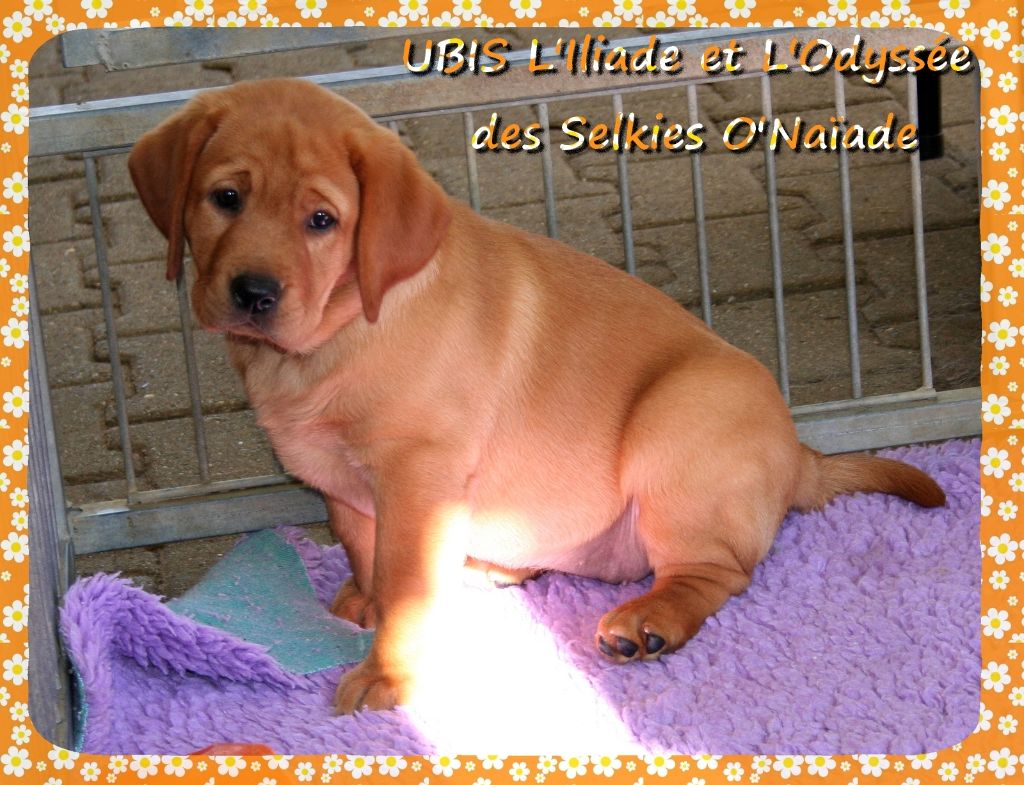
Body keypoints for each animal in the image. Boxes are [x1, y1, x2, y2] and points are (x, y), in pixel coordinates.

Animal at [129, 78, 945, 714]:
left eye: (321, 220)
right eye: (225, 198)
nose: (253, 292)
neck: (335, 336)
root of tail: (798, 451)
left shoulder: (419, 475)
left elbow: (404, 583)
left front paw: (389, 671)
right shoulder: (341, 484)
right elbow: (367, 553)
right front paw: (363, 599)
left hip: (681, 423)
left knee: (719, 572)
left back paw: (650, 618)